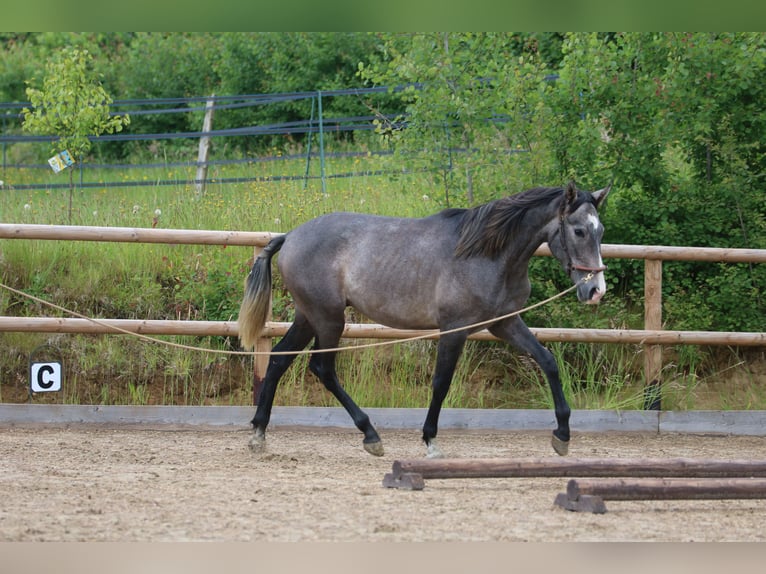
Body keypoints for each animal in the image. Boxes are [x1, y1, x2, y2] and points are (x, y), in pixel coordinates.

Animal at [240, 182, 612, 462]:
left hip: (309, 317)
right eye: (579, 230)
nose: (595, 290)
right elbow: (441, 383)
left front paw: (562, 435)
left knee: (279, 360)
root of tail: (290, 236)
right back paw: (371, 435)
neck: (487, 254)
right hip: (329, 319)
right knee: (323, 369)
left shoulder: (503, 324)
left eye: (601, 230)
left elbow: (547, 361)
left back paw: (259, 433)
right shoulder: (454, 329)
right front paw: (430, 441)